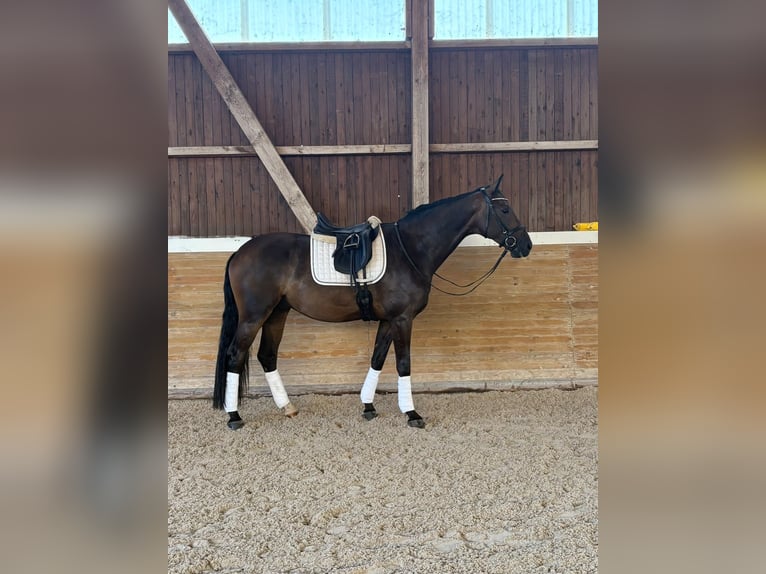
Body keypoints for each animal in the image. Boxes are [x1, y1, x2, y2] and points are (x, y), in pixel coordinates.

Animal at [213, 175, 532, 430]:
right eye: (505, 209)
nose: (526, 244)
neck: (410, 249)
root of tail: (240, 251)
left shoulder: (388, 320)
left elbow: (377, 358)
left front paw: (368, 407)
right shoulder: (402, 319)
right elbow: (403, 363)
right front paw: (412, 413)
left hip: (277, 313)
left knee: (267, 355)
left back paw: (287, 408)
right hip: (254, 316)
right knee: (234, 355)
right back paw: (234, 416)